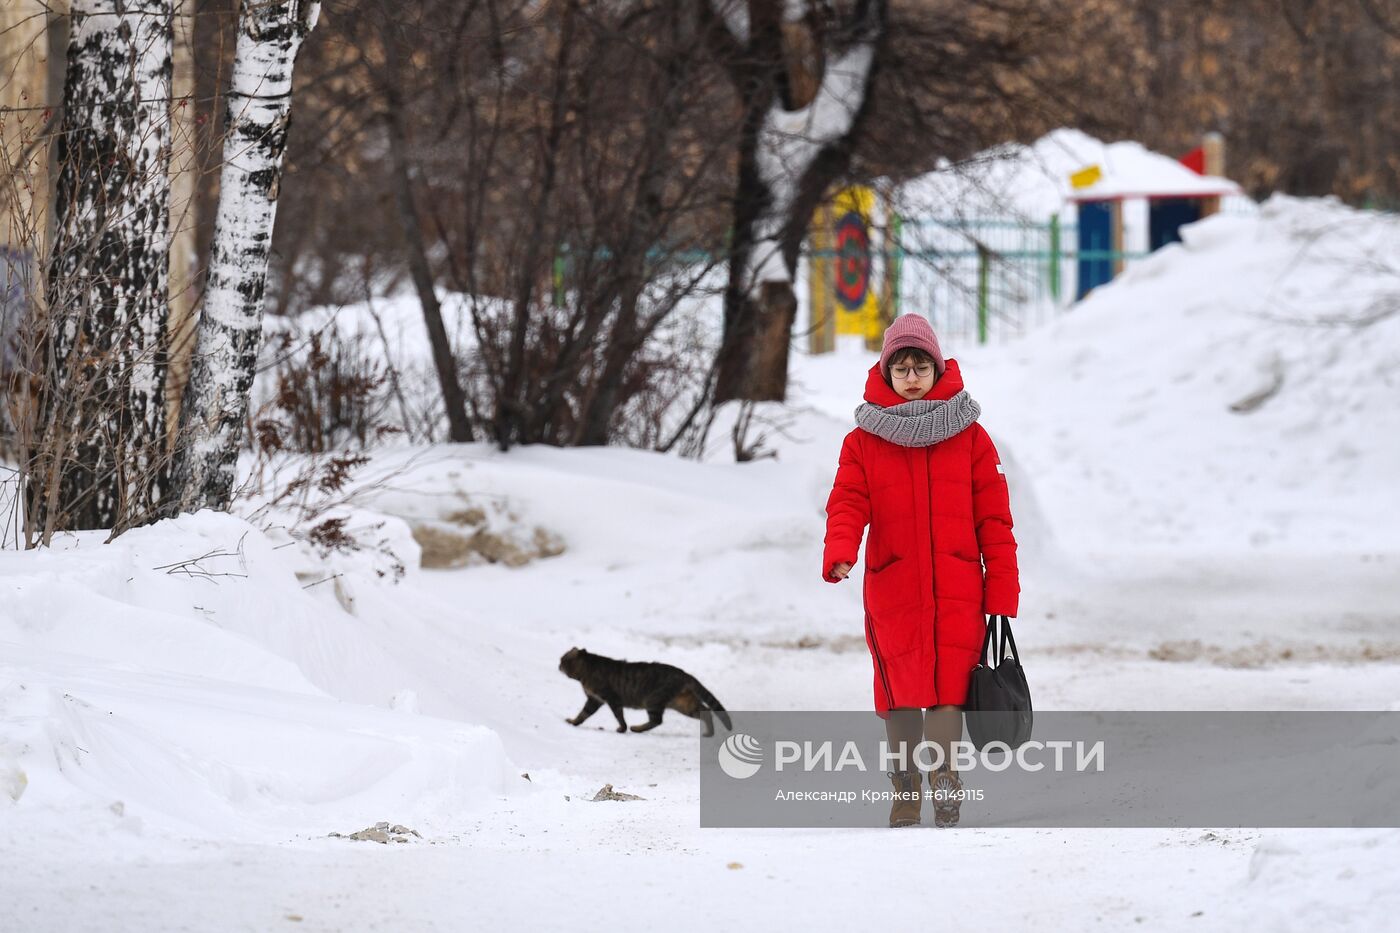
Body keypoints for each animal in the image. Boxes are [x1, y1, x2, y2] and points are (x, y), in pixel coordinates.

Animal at [557, 647, 733, 734]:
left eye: (563, 659)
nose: (558, 665)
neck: (586, 672)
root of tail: (684, 674)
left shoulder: (611, 698)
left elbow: (619, 716)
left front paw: (622, 729)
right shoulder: (594, 700)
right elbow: (583, 714)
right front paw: (573, 722)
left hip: (653, 700)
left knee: (657, 720)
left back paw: (636, 728)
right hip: (683, 704)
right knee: (706, 711)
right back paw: (708, 733)